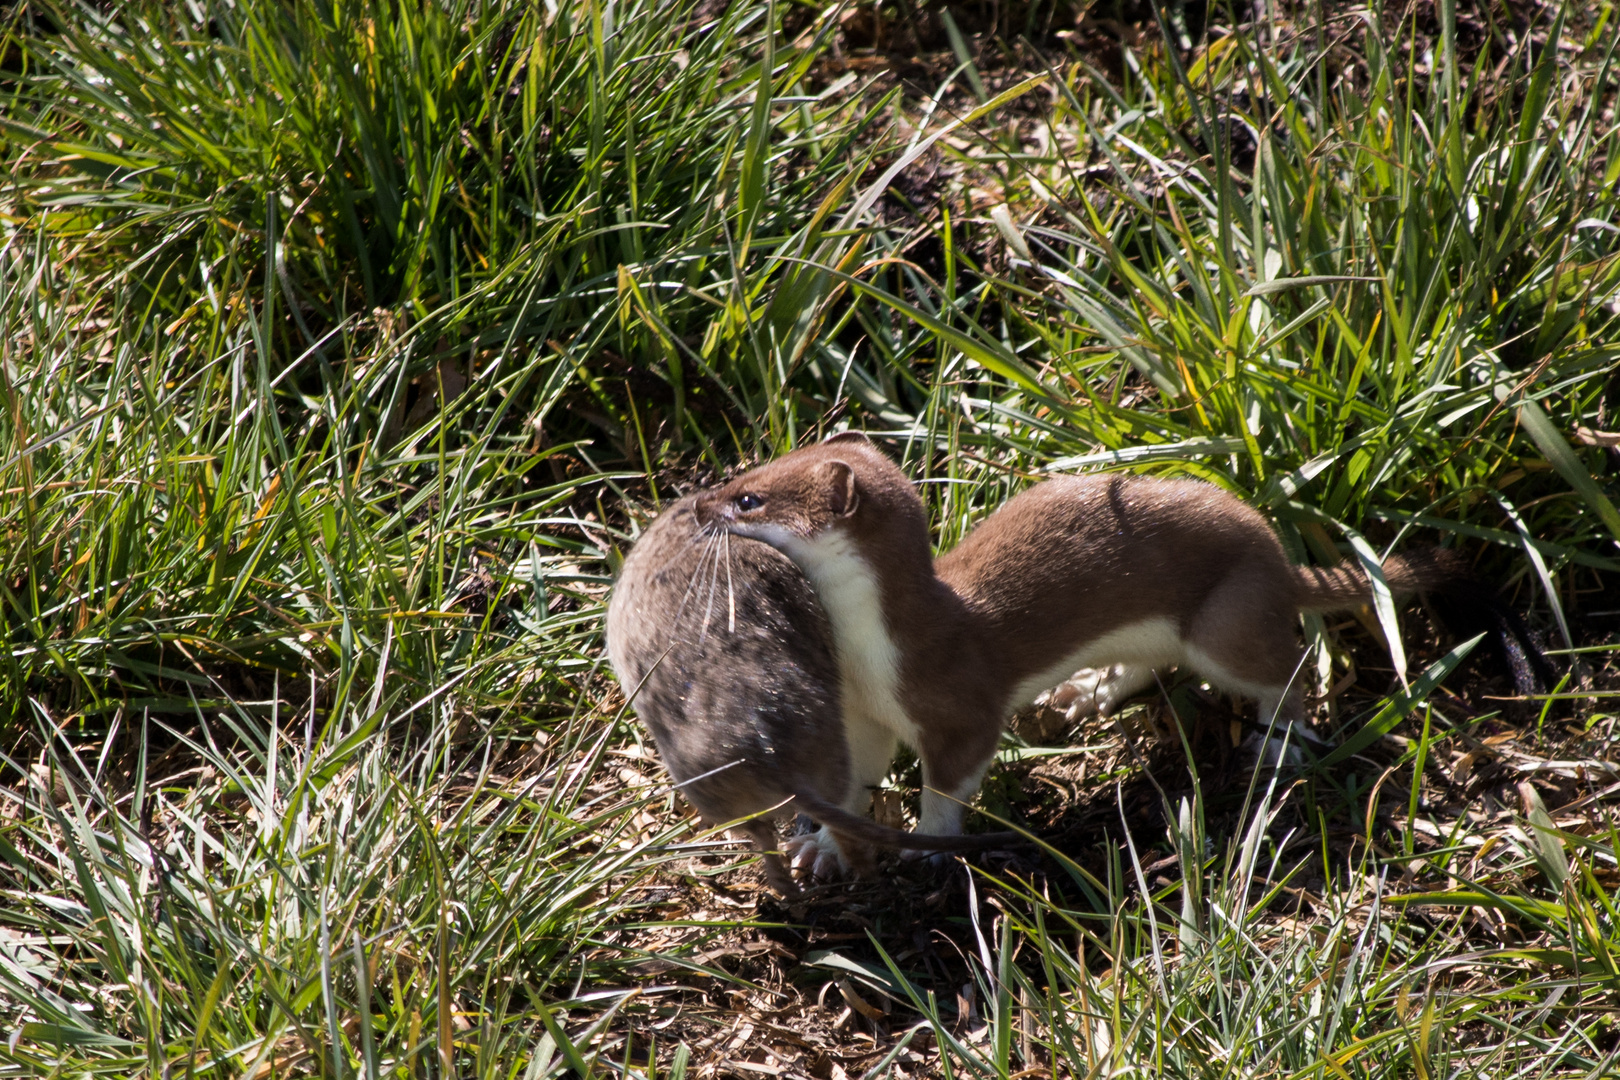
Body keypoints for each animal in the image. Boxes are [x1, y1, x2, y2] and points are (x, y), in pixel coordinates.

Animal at [690, 433, 1522, 841]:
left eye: (750, 497)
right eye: (748, 468)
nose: (695, 501)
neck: (870, 657)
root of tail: (1274, 551)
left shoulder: (957, 702)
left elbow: (951, 776)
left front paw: (932, 838)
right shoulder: (861, 711)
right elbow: (855, 776)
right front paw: (823, 840)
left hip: (1223, 617)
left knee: (1281, 666)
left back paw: (1276, 744)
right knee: (1148, 665)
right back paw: (1079, 695)